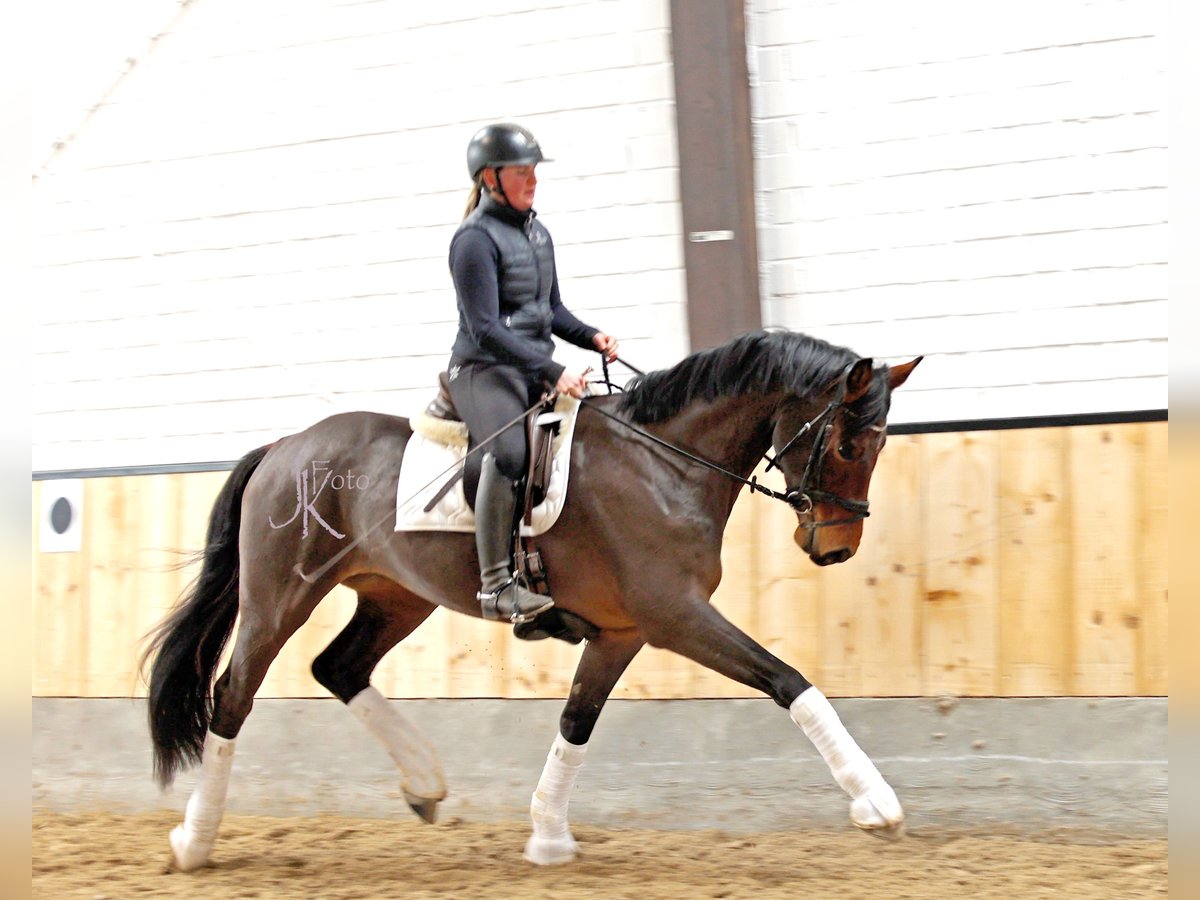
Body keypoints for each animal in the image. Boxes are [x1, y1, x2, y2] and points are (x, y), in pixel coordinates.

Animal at [145, 328, 921, 868]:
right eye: (848, 444)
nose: (836, 547)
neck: (664, 464)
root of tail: (284, 445)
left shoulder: (622, 632)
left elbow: (576, 723)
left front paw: (547, 836)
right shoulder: (675, 616)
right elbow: (788, 680)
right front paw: (875, 802)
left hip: (396, 595)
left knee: (338, 667)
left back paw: (424, 783)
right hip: (281, 597)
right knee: (233, 694)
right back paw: (194, 842)